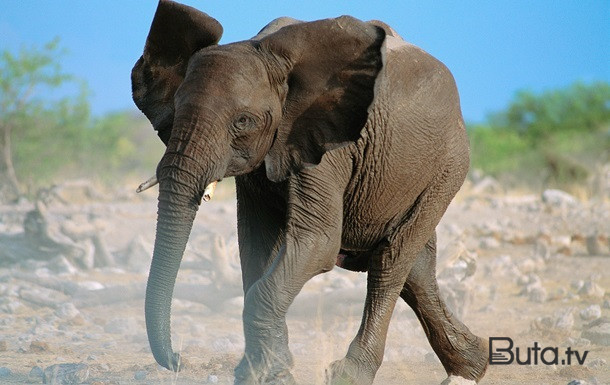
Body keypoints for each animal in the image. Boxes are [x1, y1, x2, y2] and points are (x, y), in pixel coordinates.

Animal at [131, 0, 486, 384]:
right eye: (177, 109)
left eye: (243, 121)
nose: (178, 359)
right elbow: (256, 244)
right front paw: (264, 371)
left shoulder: (329, 144)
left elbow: (317, 242)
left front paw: (270, 372)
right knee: (417, 267)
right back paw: (473, 364)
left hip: (447, 167)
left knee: (391, 261)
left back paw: (350, 374)